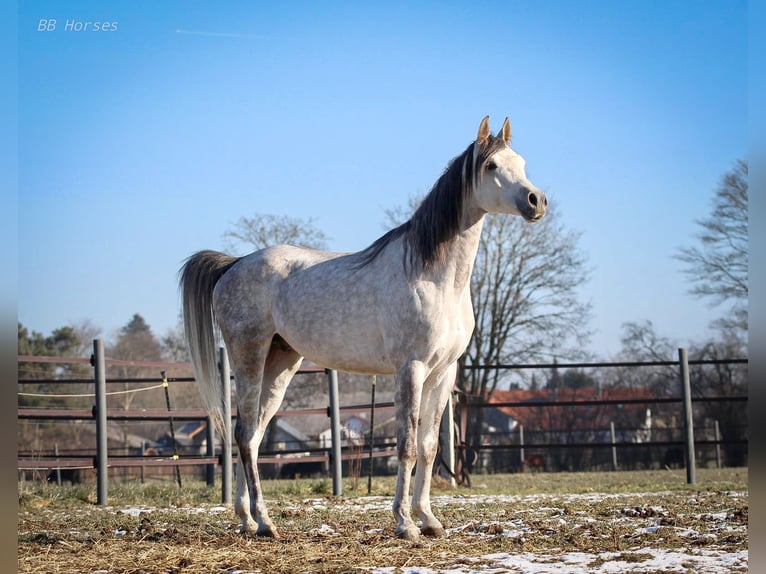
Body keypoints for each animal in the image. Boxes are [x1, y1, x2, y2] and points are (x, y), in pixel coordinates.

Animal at [183, 116, 548, 540]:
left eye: (521, 162)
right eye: (491, 166)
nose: (536, 201)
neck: (434, 276)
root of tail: (234, 264)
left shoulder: (444, 372)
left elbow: (427, 446)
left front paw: (429, 520)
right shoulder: (411, 368)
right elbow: (406, 445)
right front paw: (405, 523)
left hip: (281, 364)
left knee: (252, 436)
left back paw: (248, 520)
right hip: (249, 357)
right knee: (243, 435)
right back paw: (265, 521)